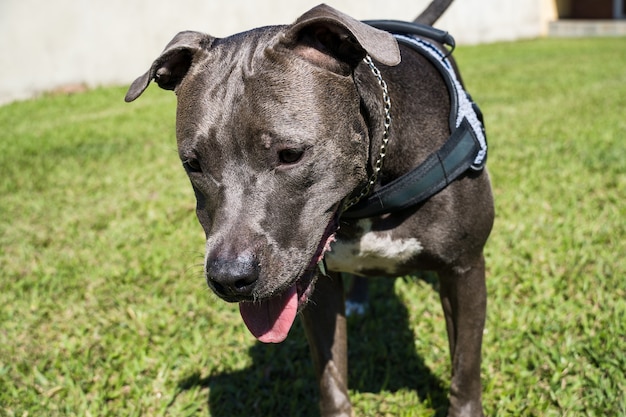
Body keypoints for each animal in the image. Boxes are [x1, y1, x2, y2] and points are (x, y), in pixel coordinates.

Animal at [123, 1, 492, 414]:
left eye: (290, 155)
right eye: (193, 163)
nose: (229, 278)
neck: (369, 194)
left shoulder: (464, 269)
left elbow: (465, 366)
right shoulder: (317, 287)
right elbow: (331, 376)